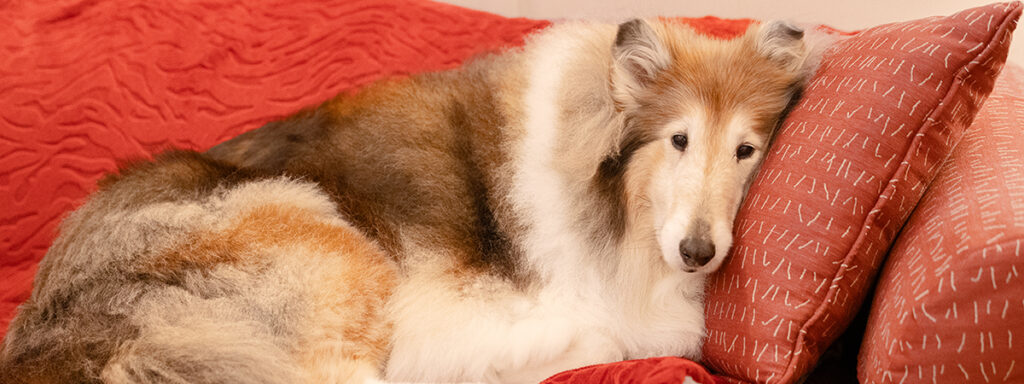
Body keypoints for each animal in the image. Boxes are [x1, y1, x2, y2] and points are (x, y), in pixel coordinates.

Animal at [0, 17, 815, 384]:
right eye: (678, 139)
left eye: (746, 150)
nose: (700, 253)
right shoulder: (454, 310)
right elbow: (610, 338)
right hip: (327, 245)